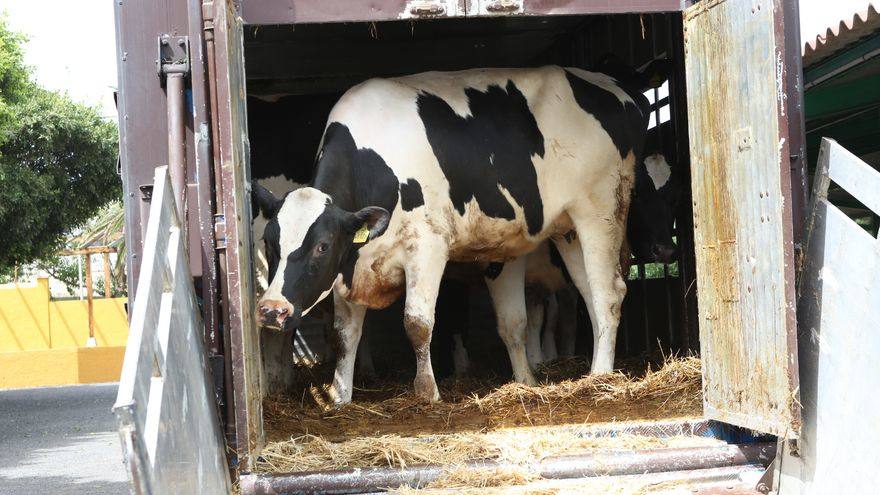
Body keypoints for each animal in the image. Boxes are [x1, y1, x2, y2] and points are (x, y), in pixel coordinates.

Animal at [255, 65, 658, 405]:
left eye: (322, 246)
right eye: (269, 243)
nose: (272, 310)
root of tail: (613, 84)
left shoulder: (428, 245)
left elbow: (417, 323)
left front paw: (427, 392)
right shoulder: (351, 265)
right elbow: (344, 334)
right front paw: (340, 396)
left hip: (601, 209)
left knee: (609, 293)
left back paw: (600, 375)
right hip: (568, 228)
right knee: (589, 292)